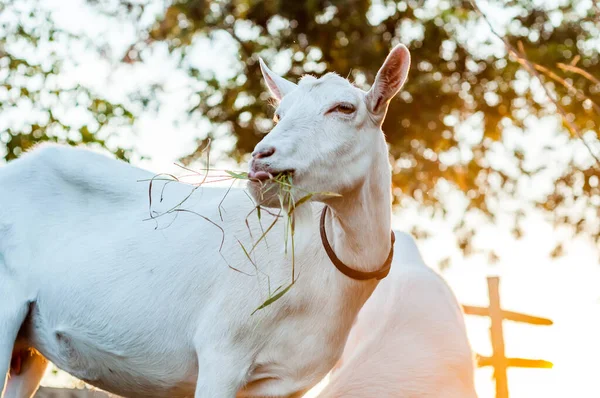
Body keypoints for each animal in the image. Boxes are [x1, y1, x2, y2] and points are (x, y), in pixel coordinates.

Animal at [0, 44, 410, 398]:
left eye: (344, 108)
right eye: (279, 114)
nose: (261, 159)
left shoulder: (285, 384)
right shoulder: (222, 354)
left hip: (28, 346)